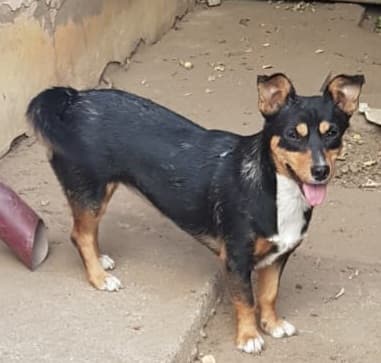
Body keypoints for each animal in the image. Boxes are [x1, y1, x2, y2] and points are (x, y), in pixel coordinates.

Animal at [26, 74, 362, 356]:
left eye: (332, 133)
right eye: (293, 134)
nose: (321, 171)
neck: (276, 189)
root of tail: (72, 99)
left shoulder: (278, 255)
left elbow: (269, 294)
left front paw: (272, 324)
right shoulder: (236, 258)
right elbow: (247, 300)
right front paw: (249, 337)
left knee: (88, 231)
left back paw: (101, 259)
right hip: (91, 190)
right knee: (79, 234)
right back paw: (99, 277)